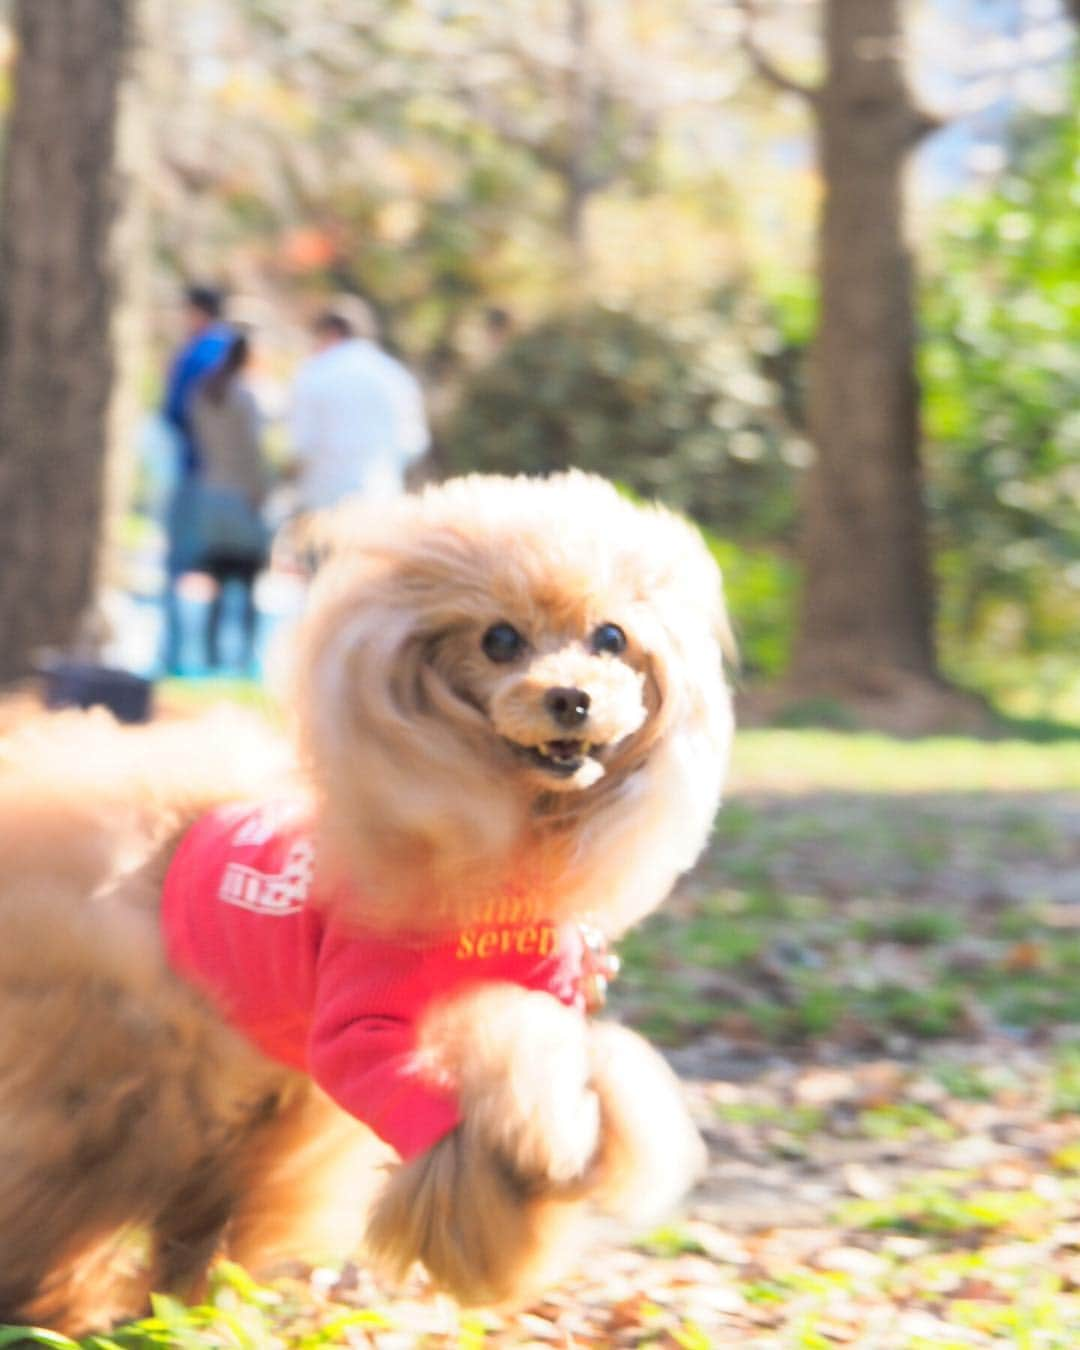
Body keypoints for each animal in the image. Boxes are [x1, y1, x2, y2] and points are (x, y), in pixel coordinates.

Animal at [0, 472, 734, 1328]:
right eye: (499, 640)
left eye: (611, 638)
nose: (572, 699)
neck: (499, 854)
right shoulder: (359, 1037)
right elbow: (470, 1093)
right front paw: (528, 1171)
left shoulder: (535, 1002)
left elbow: (574, 1062)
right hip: (130, 1070)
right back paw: (57, 1301)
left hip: (241, 1103)